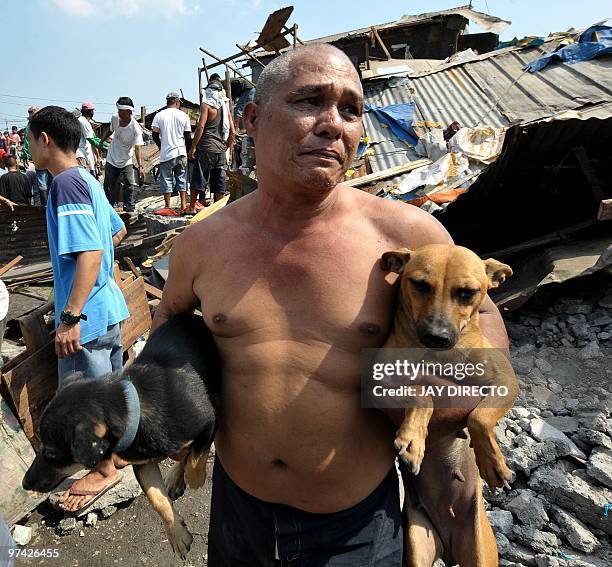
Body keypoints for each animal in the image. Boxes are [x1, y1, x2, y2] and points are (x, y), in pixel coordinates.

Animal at [22, 316, 221, 560]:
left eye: (51, 453)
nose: (25, 483)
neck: (134, 408)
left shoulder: (209, 417)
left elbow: (194, 463)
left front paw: (193, 476)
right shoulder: (143, 464)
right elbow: (157, 499)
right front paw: (177, 535)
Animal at [380, 244, 520, 567]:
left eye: (467, 293)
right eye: (420, 284)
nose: (437, 336)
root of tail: (449, 545)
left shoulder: (505, 380)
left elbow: (478, 417)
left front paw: (492, 462)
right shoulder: (377, 381)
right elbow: (422, 393)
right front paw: (413, 440)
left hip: (479, 550)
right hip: (417, 543)